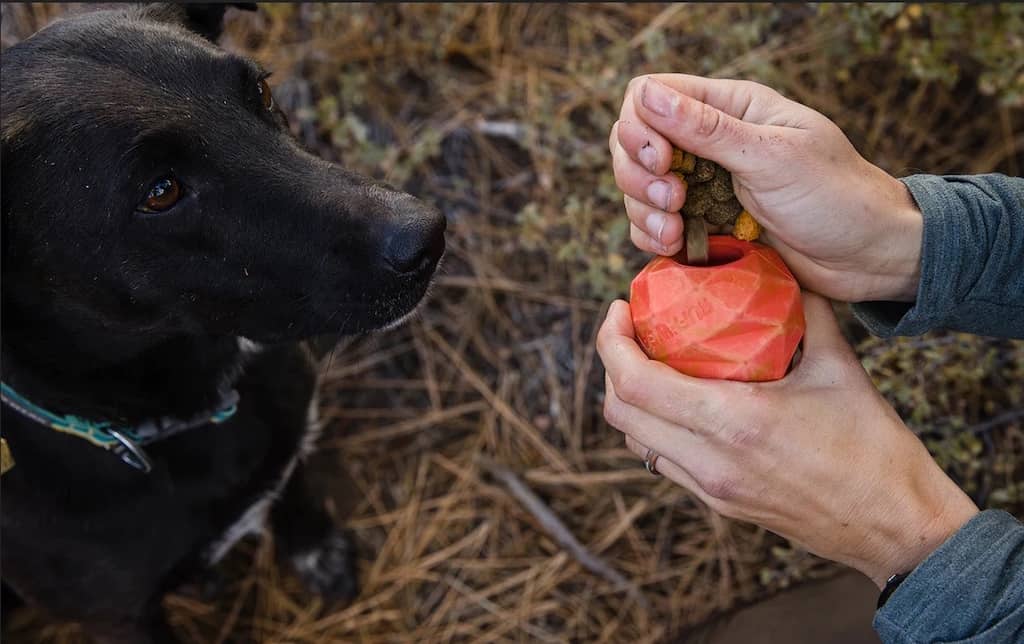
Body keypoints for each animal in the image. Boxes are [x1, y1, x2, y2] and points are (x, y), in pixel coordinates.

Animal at [1, 3, 444, 638]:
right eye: (160, 191)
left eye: (259, 90)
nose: (426, 238)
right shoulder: (118, 619)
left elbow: (293, 486)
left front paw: (317, 549)